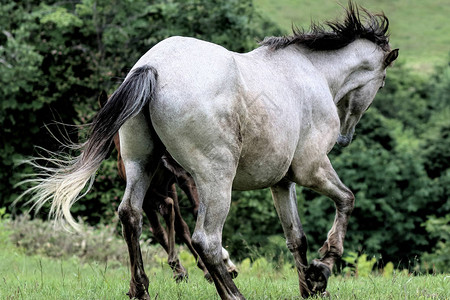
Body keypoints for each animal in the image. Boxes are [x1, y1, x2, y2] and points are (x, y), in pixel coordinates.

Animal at [16, 2, 398, 300]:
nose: (346, 138)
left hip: (143, 165)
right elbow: (346, 200)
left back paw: (141, 289)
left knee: (131, 217)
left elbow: (296, 238)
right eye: (381, 84)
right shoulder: (312, 168)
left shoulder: (282, 183)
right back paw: (232, 293)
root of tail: (152, 67)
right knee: (205, 240)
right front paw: (323, 268)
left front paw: (309, 286)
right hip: (215, 180)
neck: (311, 72)